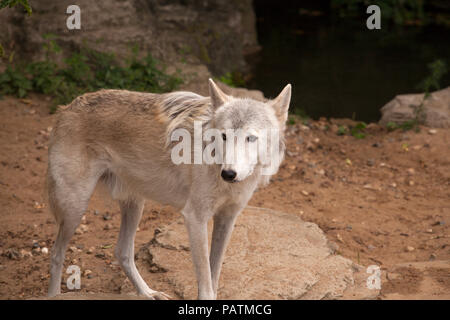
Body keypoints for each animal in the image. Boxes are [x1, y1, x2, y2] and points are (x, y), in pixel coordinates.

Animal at [45, 79, 292, 298]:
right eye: (223, 136)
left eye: (251, 138)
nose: (229, 174)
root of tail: (66, 107)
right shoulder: (195, 218)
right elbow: (205, 283)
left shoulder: (227, 218)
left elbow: (214, 275)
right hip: (75, 208)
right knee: (56, 254)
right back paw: (54, 294)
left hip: (135, 205)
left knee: (122, 252)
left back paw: (147, 293)